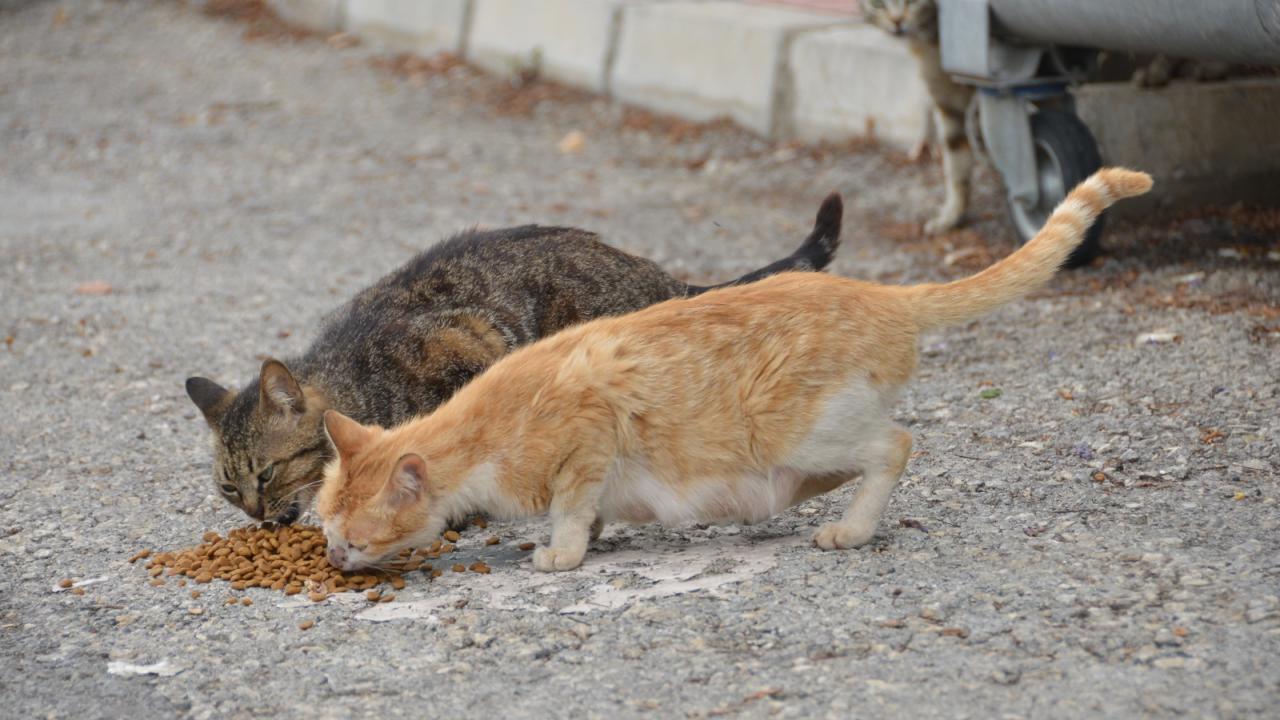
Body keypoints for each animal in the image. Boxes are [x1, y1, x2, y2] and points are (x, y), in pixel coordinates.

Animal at [180, 196, 839, 520]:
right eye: (228, 488)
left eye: (266, 473)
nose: (258, 517)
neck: (357, 383)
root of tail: (655, 273)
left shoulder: (471, 344)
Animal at [312, 167, 1152, 571]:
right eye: (323, 525)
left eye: (349, 531)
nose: (330, 554)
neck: (486, 424)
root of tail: (881, 294)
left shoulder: (585, 442)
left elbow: (574, 508)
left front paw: (562, 552)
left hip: (798, 429)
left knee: (898, 444)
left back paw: (851, 530)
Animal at [860, 0, 977, 233]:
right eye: (877, 4)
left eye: (913, 2)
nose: (897, 21)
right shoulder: (949, 106)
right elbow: (956, 166)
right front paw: (952, 216)